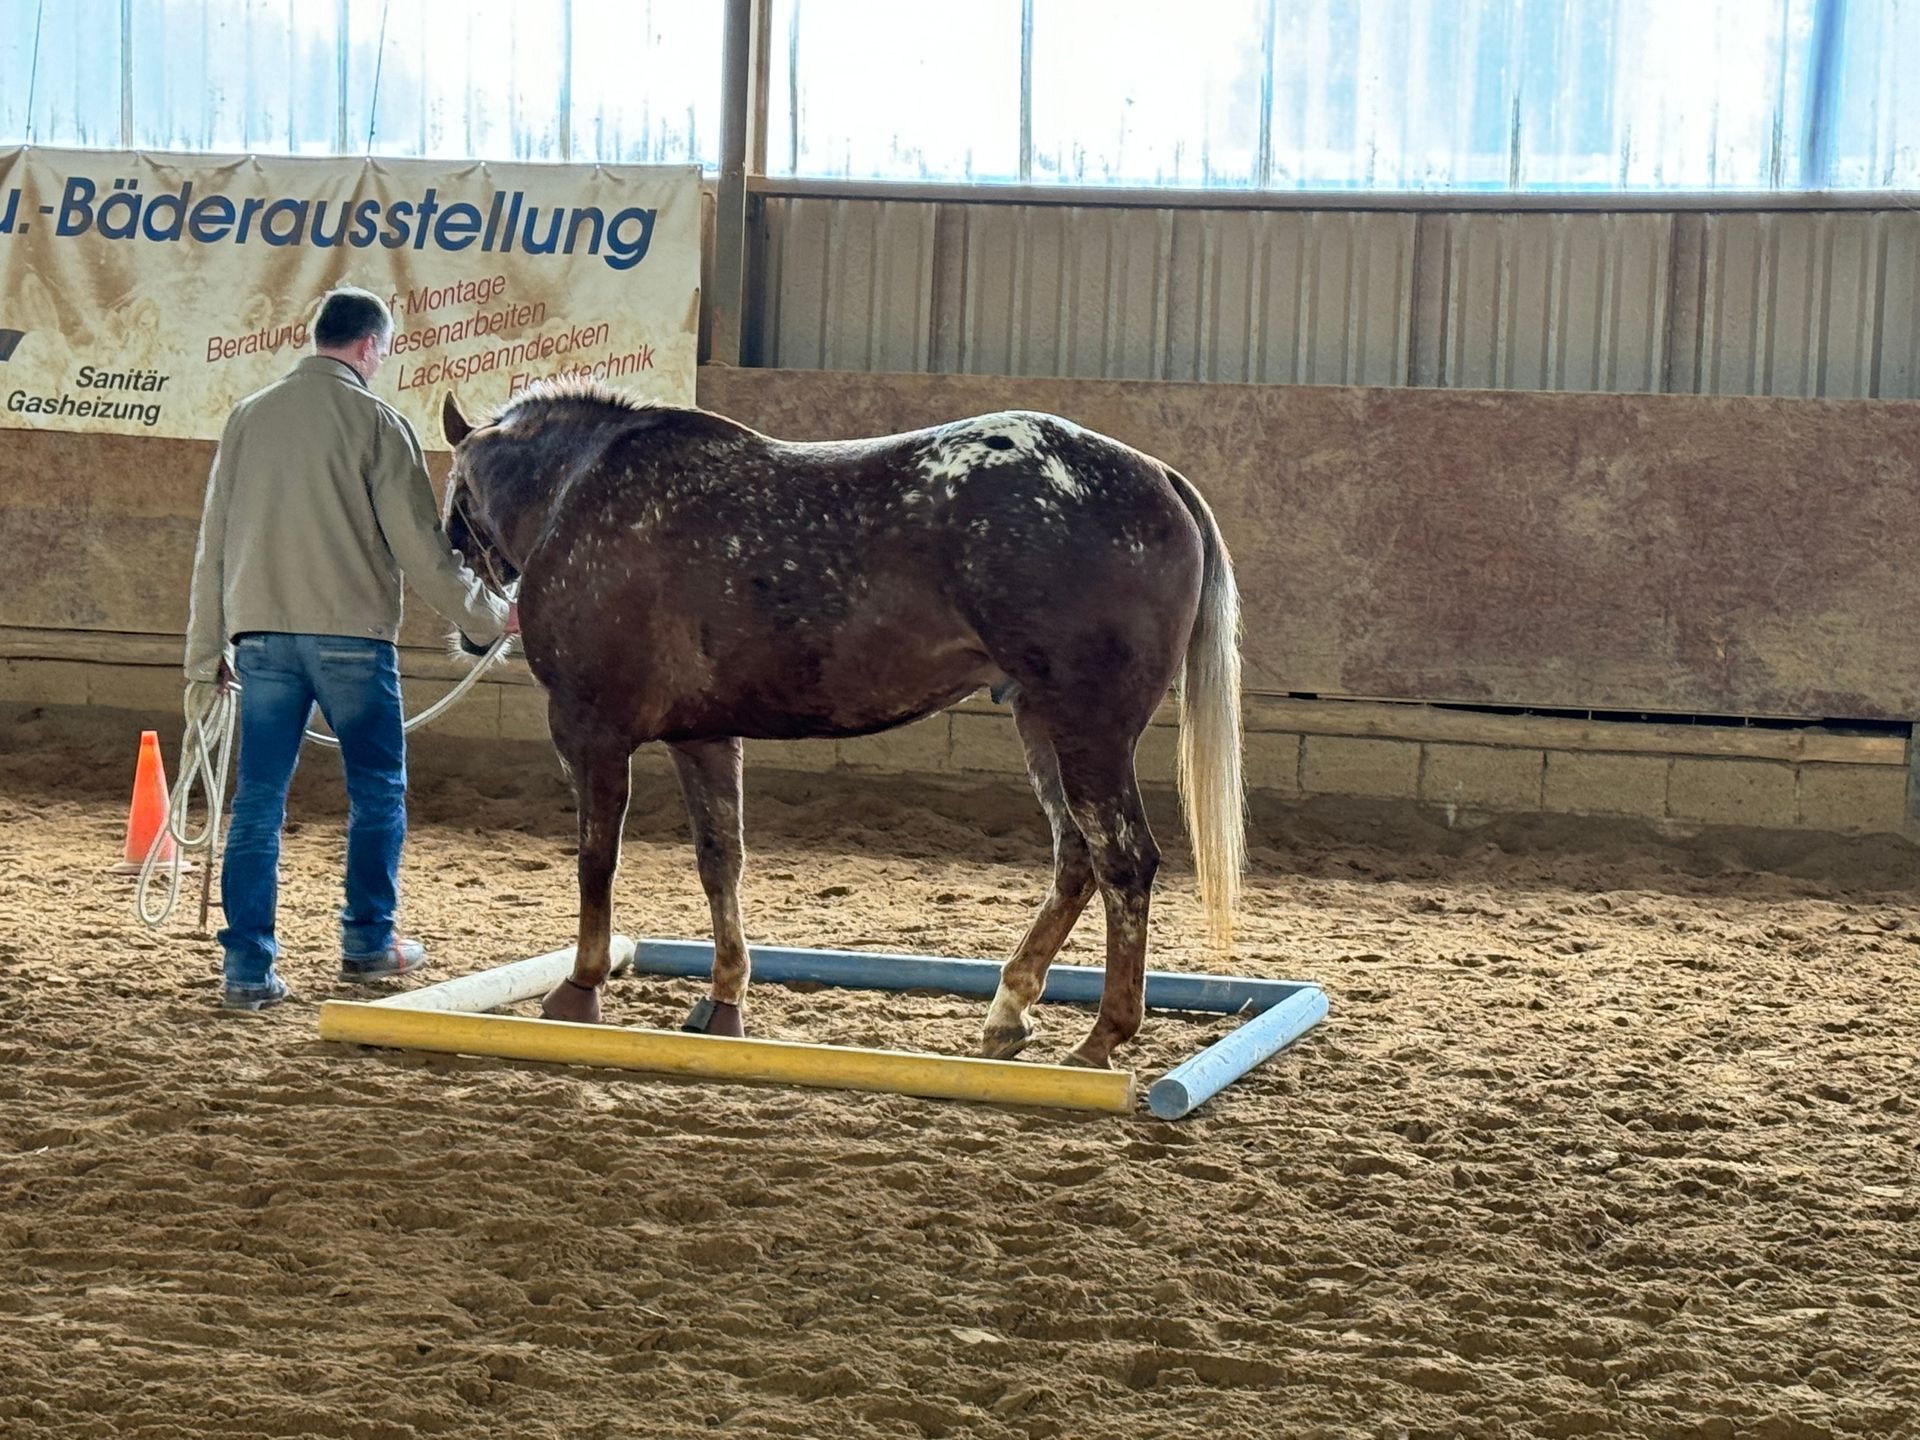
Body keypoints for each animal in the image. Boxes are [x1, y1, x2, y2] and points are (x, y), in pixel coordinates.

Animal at [439, 384, 1244, 1070]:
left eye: (456, 507)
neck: (582, 493)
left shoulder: (590, 729)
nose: (473, 629)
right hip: (1041, 722)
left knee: (1124, 863)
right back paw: (1008, 1013)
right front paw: (723, 1000)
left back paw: (1102, 1038)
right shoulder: (703, 738)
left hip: (1088, 732)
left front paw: (579, 989)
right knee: (1077, 859)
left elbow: (595, 861)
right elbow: (720, 861)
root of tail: (1157, 477)